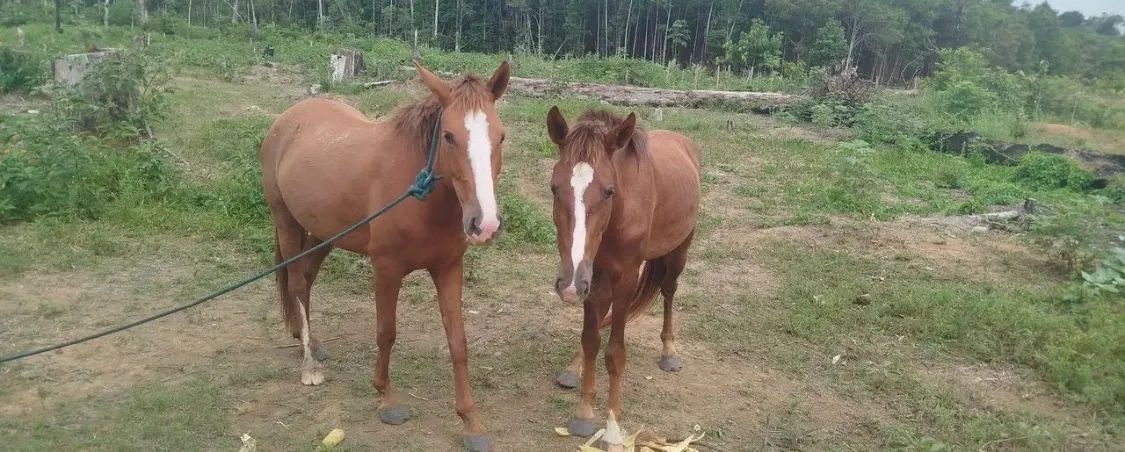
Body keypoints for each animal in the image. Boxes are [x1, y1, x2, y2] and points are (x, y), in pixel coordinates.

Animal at [259, 61, 511, 452]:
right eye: (449, 136)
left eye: (500, 137)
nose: (484, 224)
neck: (418, 193)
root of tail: (288, 119)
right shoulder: (387, 270)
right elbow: (386, 332)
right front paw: (386, 399)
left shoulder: (448, 268)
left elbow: (458, 342)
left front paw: (471, 422)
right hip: (285, 219)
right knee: (297, 281)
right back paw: (309, 365)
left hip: (324, 232)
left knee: (307, 279)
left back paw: (310, 342)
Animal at [545, 107, 701, 448]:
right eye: (554, 188)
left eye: (608, 191)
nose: (568, 286)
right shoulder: (591, 276)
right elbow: (591, 341)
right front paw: (584, 414)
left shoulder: (625, 279)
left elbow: (615, 354)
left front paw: (613, 429)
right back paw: (573, 368)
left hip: (679, 250)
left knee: (669, 291)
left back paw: (669, 352)